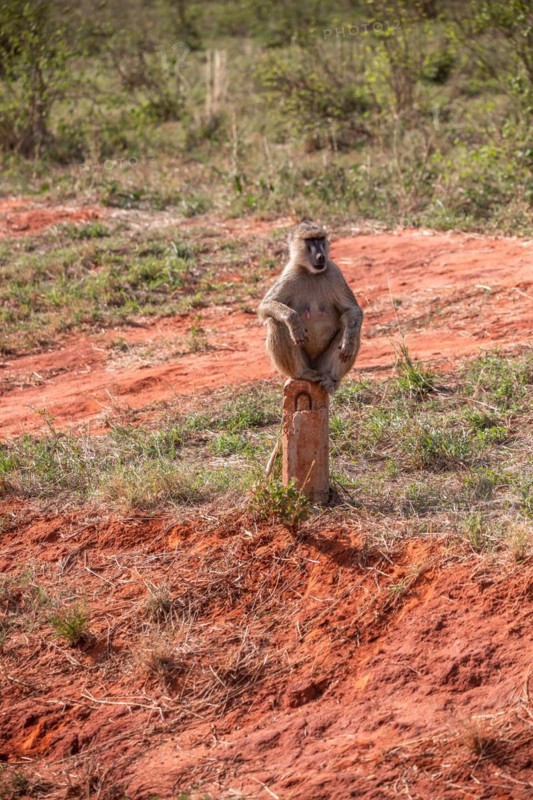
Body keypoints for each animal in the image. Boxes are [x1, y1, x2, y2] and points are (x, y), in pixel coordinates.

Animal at [258, 221, 363, 394]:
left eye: (320, 239)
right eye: (310, 240)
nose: (321, 256)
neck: (312, 273)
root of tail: (315, 368)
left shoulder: (334, 272)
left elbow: (352, 310)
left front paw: (348, 342)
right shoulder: (291, 273)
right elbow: (265, 306)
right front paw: (294, 322)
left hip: (322, 365)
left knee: (352, 328)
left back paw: (332, 380)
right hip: (306, 363)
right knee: (276, 323)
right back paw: (304, 373)